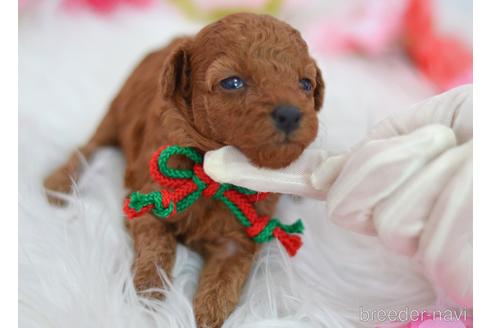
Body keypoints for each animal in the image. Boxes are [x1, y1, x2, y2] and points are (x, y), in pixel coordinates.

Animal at [44, 13, 324, 328]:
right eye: (232, 82)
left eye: (305, 84)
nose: (290, 113)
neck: (212, 171)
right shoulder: (149, 203)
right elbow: (157, 247)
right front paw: (147, 294)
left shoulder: (239, 237)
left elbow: (226, 276)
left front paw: (208, 312)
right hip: (115, 110)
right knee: (88, 147)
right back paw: (59, 184)